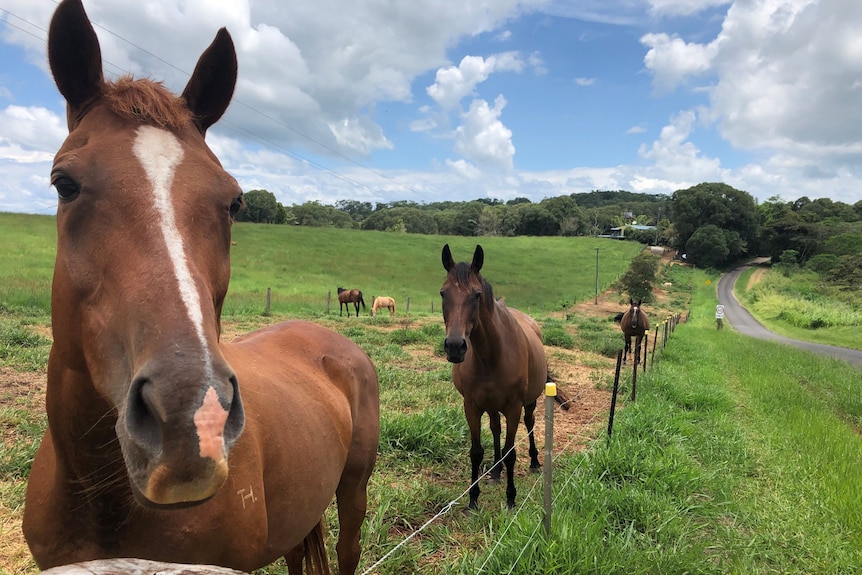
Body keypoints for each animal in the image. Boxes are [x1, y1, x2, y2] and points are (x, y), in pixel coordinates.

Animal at [442, 243, 572, 508]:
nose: (455, 347)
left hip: (529, 402)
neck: (491, 356)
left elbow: (511, 451)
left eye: (476, 295)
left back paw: (534, 462)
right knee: (495, 429)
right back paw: (495, 470)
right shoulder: (471, 406)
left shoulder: (513, 407)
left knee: (530, 423)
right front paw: (473, 499)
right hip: (492, 406)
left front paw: (511, 498)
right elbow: (476, 451)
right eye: (443, 293)